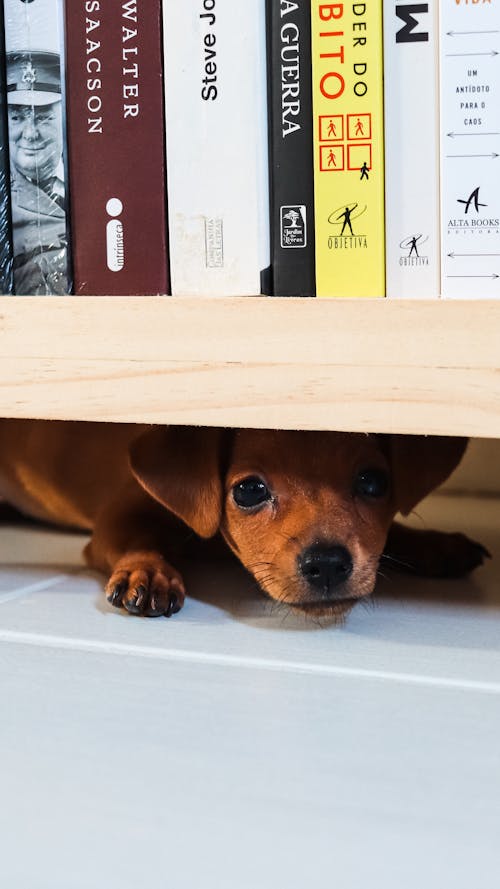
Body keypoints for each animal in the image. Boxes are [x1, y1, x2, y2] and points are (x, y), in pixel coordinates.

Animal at [0, 420, 488, 620]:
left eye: (373, 482)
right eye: (249, 491)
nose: (328, 564)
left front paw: (434, 543)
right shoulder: (119, 517)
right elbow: (139, 542)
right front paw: (150, 571)